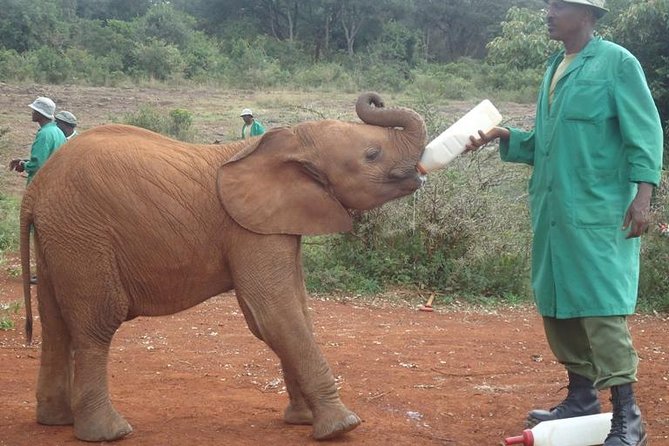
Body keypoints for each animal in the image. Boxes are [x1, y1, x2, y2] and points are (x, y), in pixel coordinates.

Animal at [18, 92, 427, 442]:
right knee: (96, 324)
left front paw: (302, 420)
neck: (291, 140)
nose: (374, 98)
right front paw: (342, 426)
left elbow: (295, 310)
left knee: (55, 324)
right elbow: (274, 314)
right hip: (84, 233)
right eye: (372, 154)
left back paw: (56, 421)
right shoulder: (246, 229)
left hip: (62, 237)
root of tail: (35, 189)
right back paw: (110, 433)